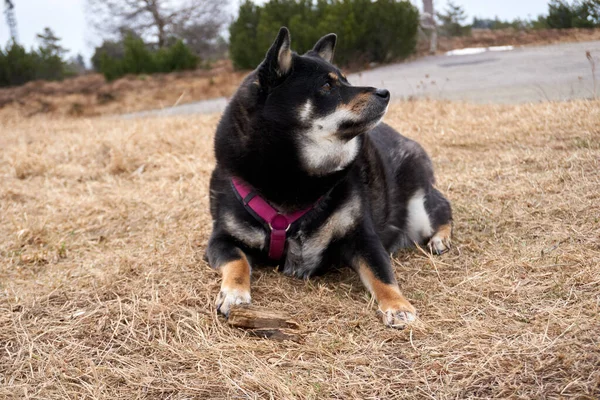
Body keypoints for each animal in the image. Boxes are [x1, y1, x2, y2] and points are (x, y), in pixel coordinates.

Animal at [206, 28, 450, 328]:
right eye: (326, 86)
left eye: (346, 80)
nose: (385, 93)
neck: (296, 179)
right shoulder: (220, 239)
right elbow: (237, 261)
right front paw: (234, 293)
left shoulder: (362, 237)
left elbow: (381, 273)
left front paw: (397, 305)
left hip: (418, 209)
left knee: (443, 208)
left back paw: (440, 239)